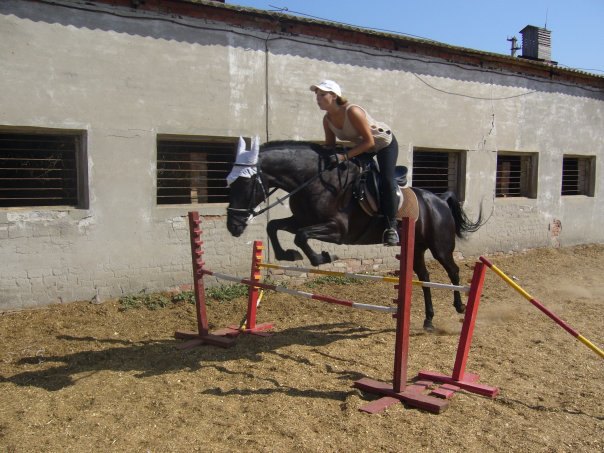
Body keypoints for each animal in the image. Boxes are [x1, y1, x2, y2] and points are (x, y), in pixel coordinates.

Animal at [224, 139, 484, 326]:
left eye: (244, 183)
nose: (233, 226)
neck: (314, 181)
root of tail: (438, 199)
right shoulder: (300, 220)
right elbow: (274, 227)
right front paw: (288, 255)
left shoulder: (338, 230)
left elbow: (302, 236)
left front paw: (323, 257)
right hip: (417, 248)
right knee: (424, 276)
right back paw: (429, 319)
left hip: (440, 247)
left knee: (453, 271)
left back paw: (460, 307)